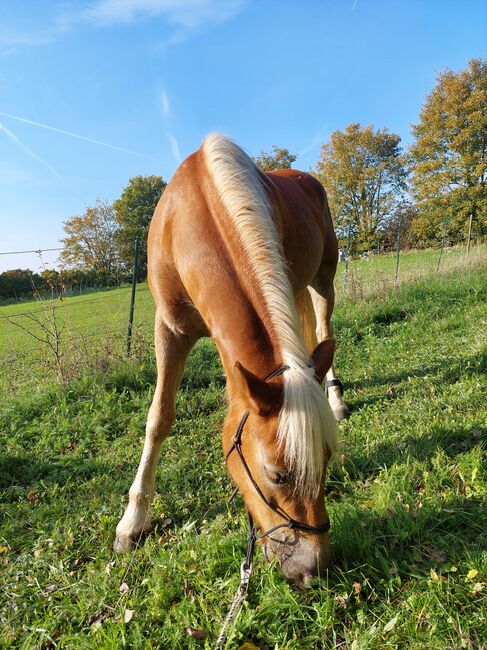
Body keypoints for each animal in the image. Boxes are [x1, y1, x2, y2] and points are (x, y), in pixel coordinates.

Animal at [113, 133, 350, 588]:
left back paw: (335, 398)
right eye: (276, 475)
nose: (314, 569)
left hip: (322, 279)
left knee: (323, 330)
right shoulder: (170, 330)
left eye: (327, 459)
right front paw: (132, 523)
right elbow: (159, 418)